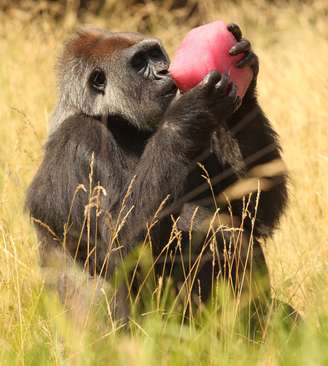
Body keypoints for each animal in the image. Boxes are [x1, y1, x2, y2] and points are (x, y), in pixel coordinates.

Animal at [25, 24, 288, 328]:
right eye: (140, 62)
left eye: (156, 54)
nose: (164, 71)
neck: (117, 121)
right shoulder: (76, 143)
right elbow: (119, 250)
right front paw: (190, 111)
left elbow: (251, 214)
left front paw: (245, 83)